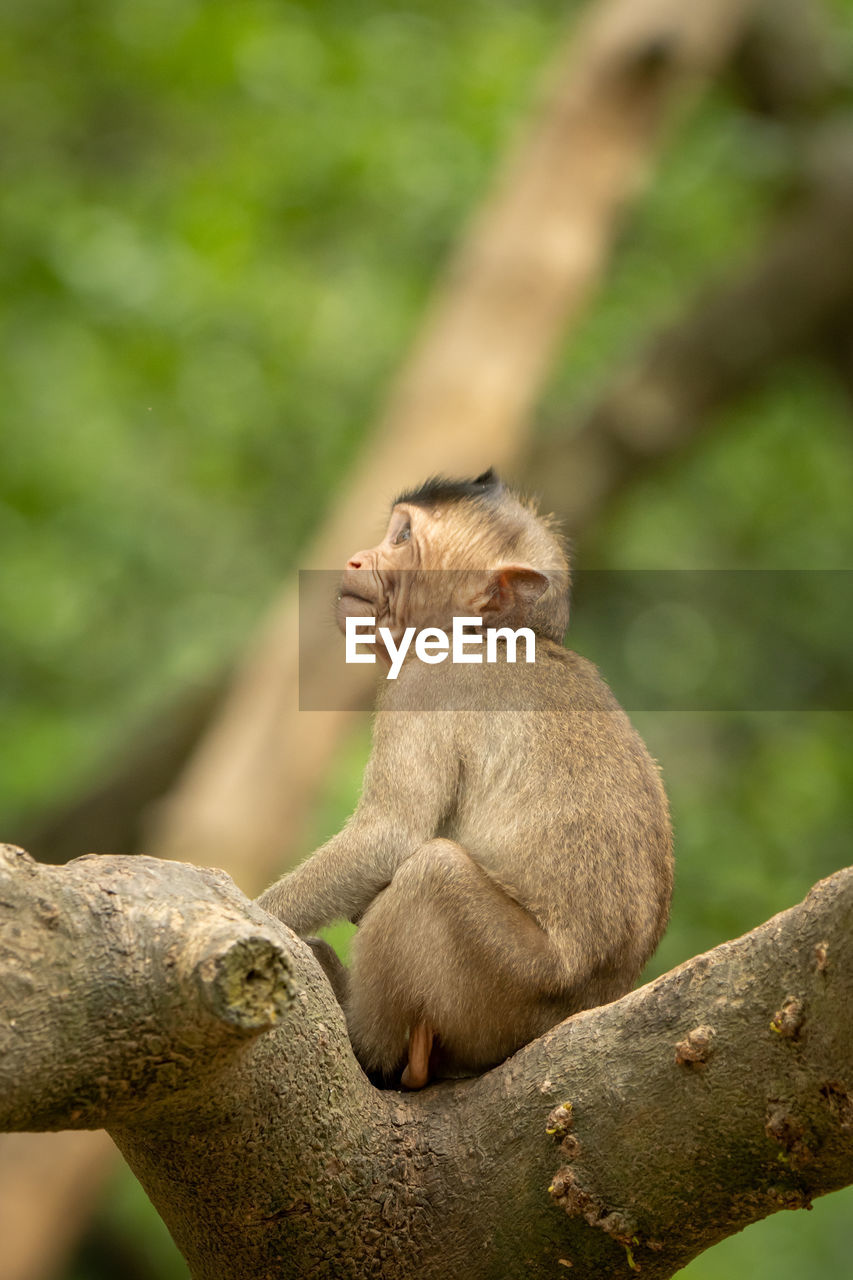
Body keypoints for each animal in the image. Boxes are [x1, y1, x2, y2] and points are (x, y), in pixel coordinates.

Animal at [256, 471, 666, 1090]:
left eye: (402, 538)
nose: (356, 560)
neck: (489, 632)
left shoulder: (424, 683)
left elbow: (388, 836)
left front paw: (255, 915)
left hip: (508, 979)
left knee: (434, 871)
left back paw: (369, 1043)